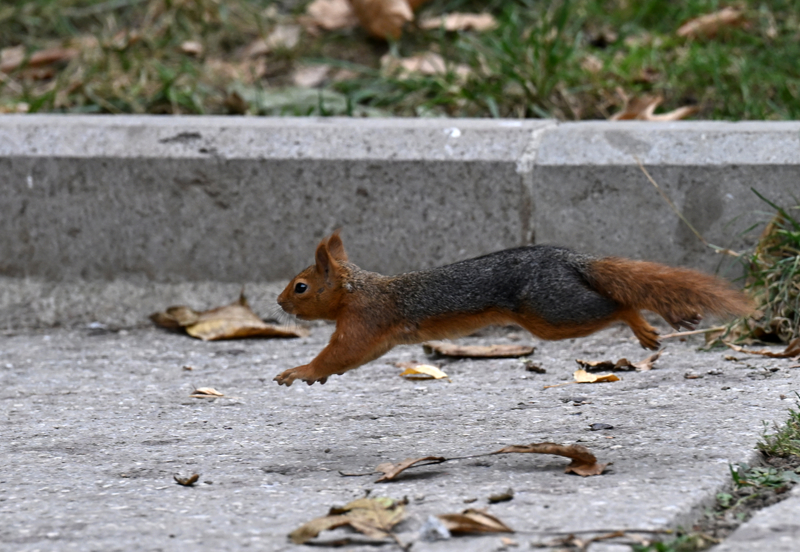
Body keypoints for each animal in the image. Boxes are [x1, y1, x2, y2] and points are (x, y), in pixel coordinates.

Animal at [273, 231, 750, 387]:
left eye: (301, 287)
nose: (278, 304)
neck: (357, 289)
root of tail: (571, 260)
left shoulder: (365, 320)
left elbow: (339, 353)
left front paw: (298, 371)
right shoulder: (376, 336)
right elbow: (350, 359)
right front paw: (312, 376)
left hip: (554, 312)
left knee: (619, 303)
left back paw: (647, 326)